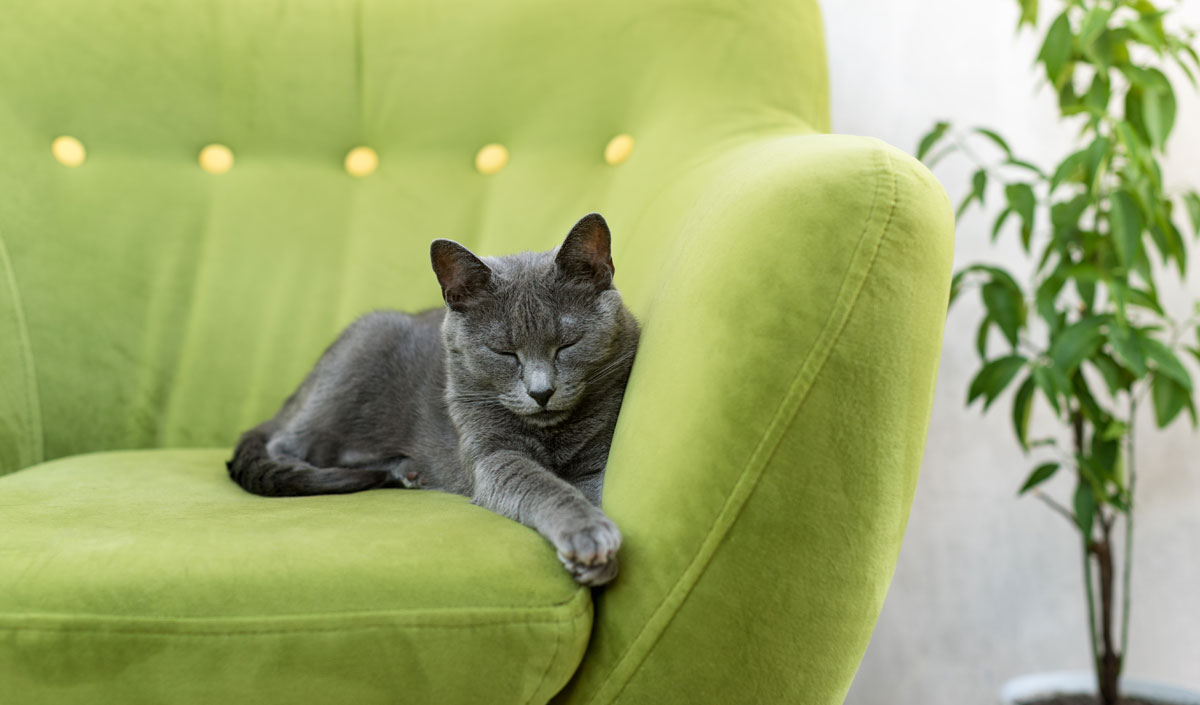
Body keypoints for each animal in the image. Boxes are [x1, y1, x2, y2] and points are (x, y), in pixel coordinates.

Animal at [225, 213, 638, 582]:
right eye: (504, 352)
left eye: (568, 345)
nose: (542, 392)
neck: (551, 435)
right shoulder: (492, 455)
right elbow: (542, 485)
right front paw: (588, 535)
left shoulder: (599, 454)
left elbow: (592, 487)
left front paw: (598, 557)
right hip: (364, 344)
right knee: (287, 447)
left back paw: (403, 470)